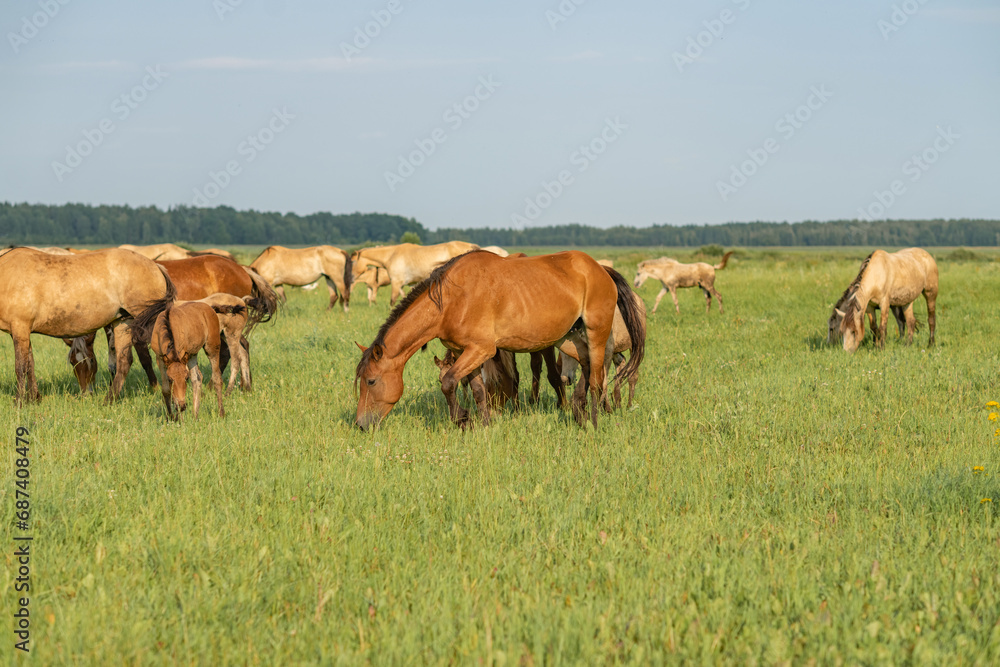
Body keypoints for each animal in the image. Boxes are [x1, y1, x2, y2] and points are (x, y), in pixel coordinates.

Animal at [0, 245, 174, 402]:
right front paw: (34, 398)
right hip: (124, 322)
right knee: (124, 361)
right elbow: (30, 365)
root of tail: (156, 266)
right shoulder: (22, 332)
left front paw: (19, 402)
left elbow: (21, 367)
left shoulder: (20, 328)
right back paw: (109, 400)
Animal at [350, 241, 478, 306]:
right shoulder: (408, 284)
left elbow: (392, 302)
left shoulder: (396, 283)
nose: (351, 278)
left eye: (353, 262)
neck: (392, 255)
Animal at [356, 248, 644, 430]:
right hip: (569, 339)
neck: (451, 299)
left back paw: (592, 422)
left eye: (371, 381)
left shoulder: (482, 350)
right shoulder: (464, 352)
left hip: (596, 333)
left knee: (596, 378)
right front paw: (483, 424)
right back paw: (577, 412)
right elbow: (478, 390)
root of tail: (601, 269)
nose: (360, 424)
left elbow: (448, 383)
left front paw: (460, 419)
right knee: (585, 369)